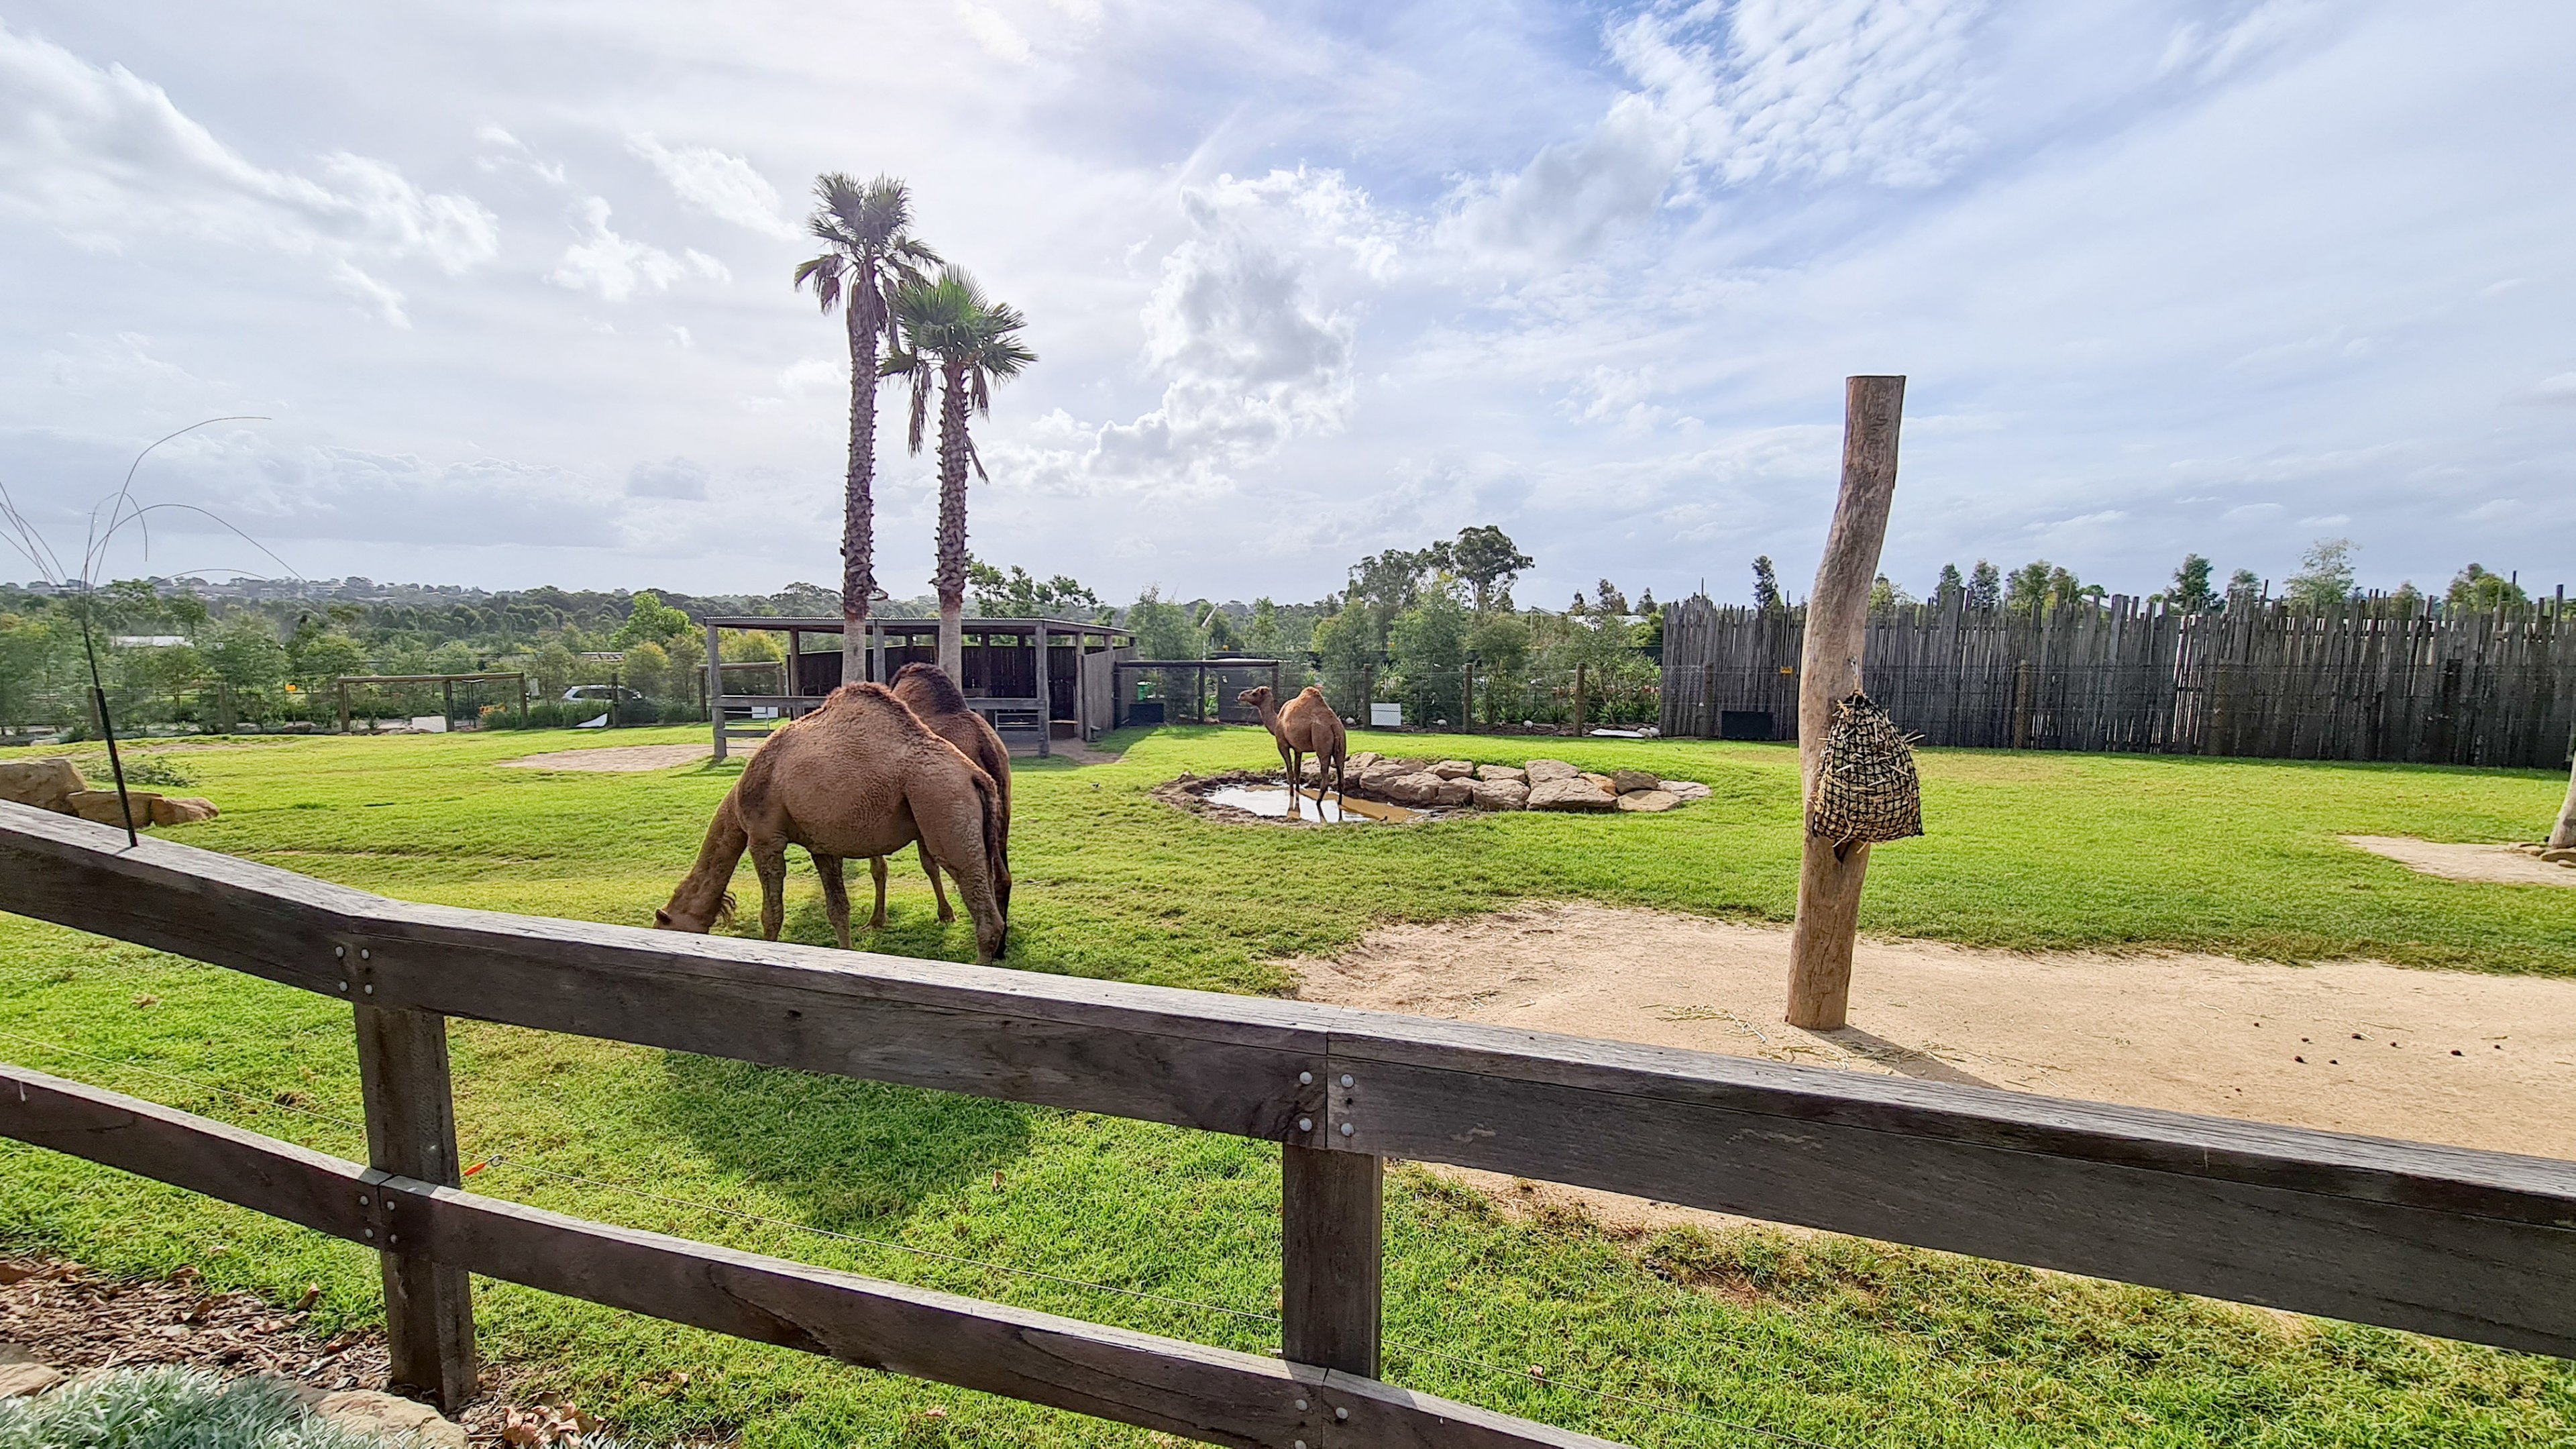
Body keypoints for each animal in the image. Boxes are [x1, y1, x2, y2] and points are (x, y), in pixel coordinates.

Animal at [653, 682, 1008, 962]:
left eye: (661, 926)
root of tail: (978, 777)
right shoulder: (821, 846)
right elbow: (838, 910)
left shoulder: (764, 837)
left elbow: (772, 914)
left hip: (943, 807)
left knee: (984, 915)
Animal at [1238, 684, 1348, 816]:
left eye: (1254, 693)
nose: (1241, 695)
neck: (1277, 721)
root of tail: (1334, 725)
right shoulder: (1298, 749)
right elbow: (1297, 771)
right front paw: (1298, 792)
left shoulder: (1282, 744)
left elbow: (1290, 771)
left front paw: (1291, 794)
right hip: (1341, 745)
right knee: (1341, 775)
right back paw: (1340, 803)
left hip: (1322, 742)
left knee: (1325, 777)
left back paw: (1318, 803)